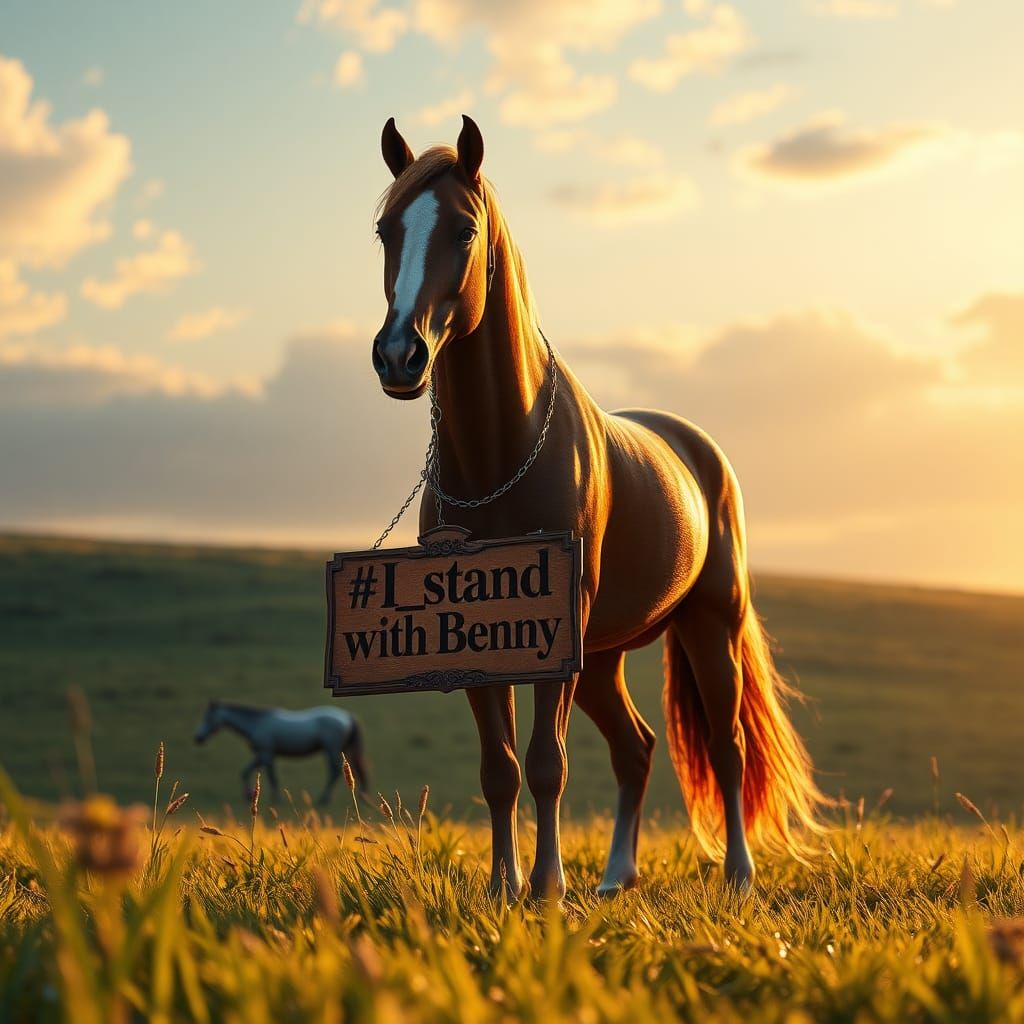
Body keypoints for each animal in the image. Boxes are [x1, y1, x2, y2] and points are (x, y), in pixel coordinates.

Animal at [193, 701, 369, 806]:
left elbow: (272, 777)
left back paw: (323, 800)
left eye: (208, 718)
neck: (257, 723)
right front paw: (249, 794)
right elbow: (245, 772)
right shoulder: (262, 755)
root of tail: (347, 716)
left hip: (331, 749)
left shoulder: (266, 754)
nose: (198, 738)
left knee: (334, 773)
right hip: (343, 750)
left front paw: (274, 798)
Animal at [369, 114, 824, 899]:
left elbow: (546, 763)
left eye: (463, 229)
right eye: (384, 229)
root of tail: (700, 451)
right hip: (604, 659)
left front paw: (546, 886)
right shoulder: (482, 644)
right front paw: (503, 887)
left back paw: (738, 875)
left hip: (711, 628)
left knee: (728, 748)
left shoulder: (559, 642)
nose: (400, 356)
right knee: (636, 748)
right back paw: (616, 877)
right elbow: (500, 770)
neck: (502, 452)